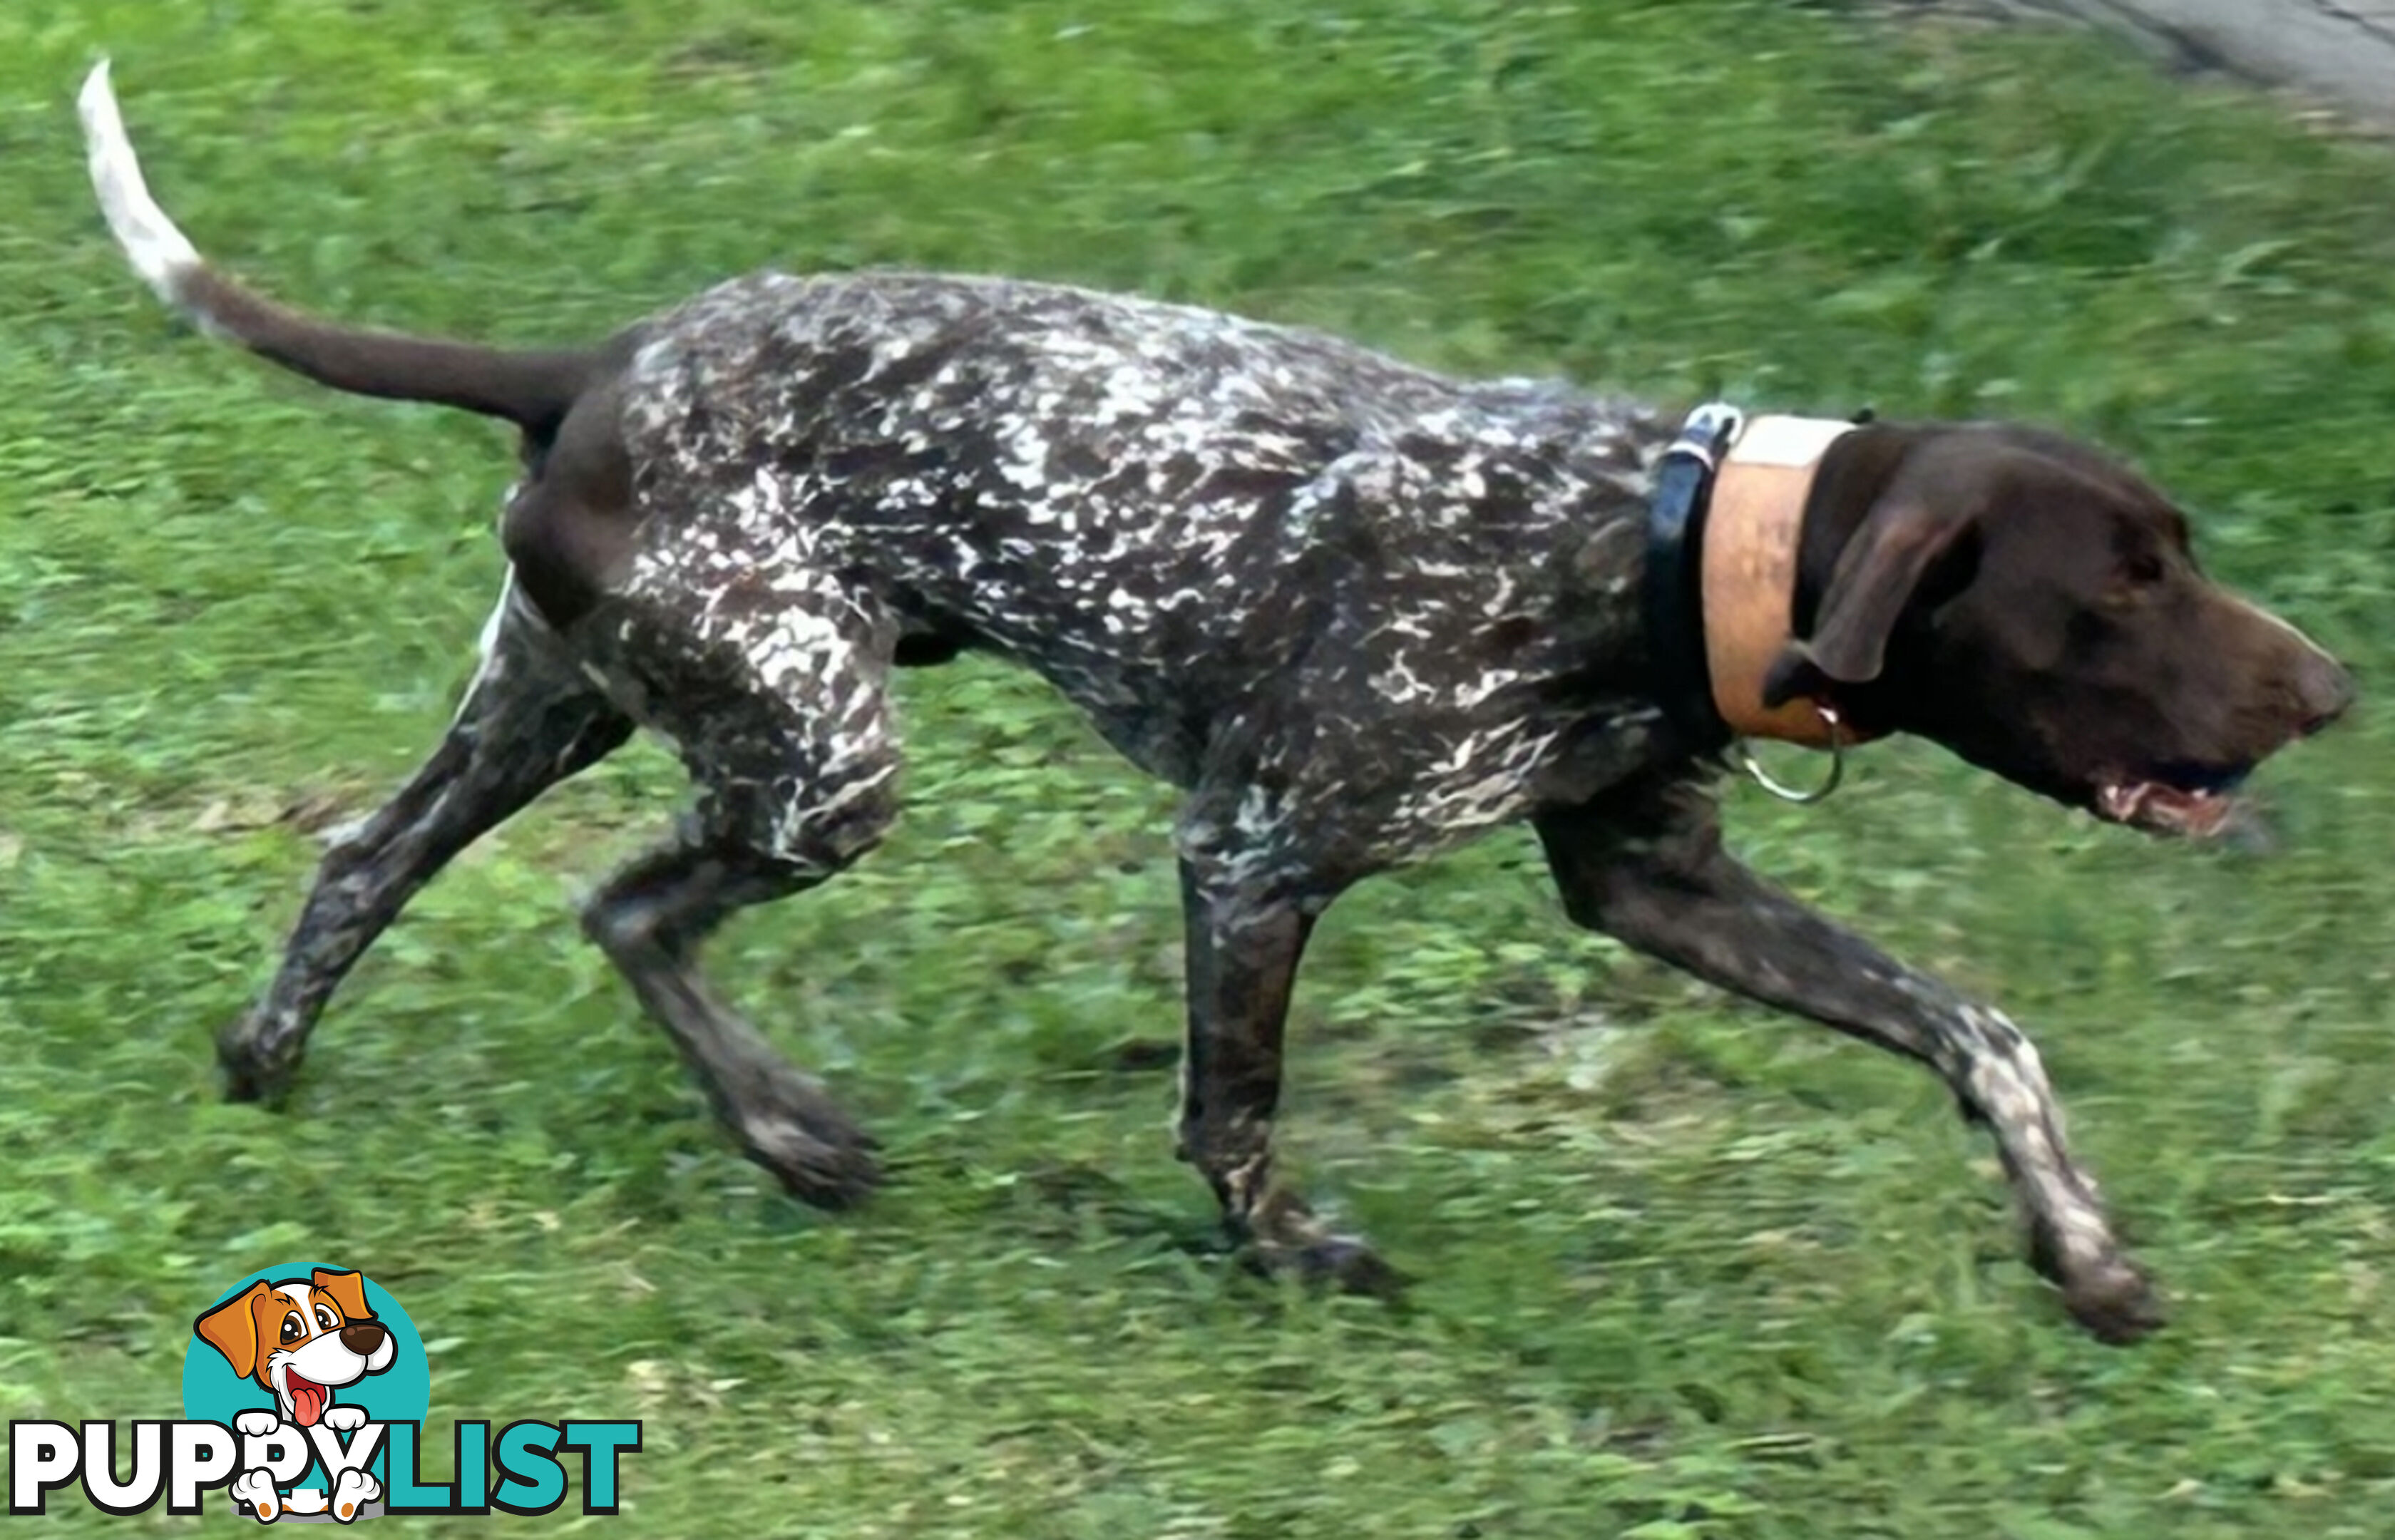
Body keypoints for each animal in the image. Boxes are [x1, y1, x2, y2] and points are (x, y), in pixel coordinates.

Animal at [84, 63, 2347, 1341]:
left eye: (2175, 547)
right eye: (2120, 584)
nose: (2328, 689)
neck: (1652, 534)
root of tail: (599, 360)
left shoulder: (1656, 889)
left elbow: (1981, 1035)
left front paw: (2081, 1256)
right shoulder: (1251, 856)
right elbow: (1231, 1111)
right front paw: (1286, 1261)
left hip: (570, 701)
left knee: (365, 867)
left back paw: (273, 1064)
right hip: (814, 759)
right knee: (627, 907)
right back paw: (787, 1130)